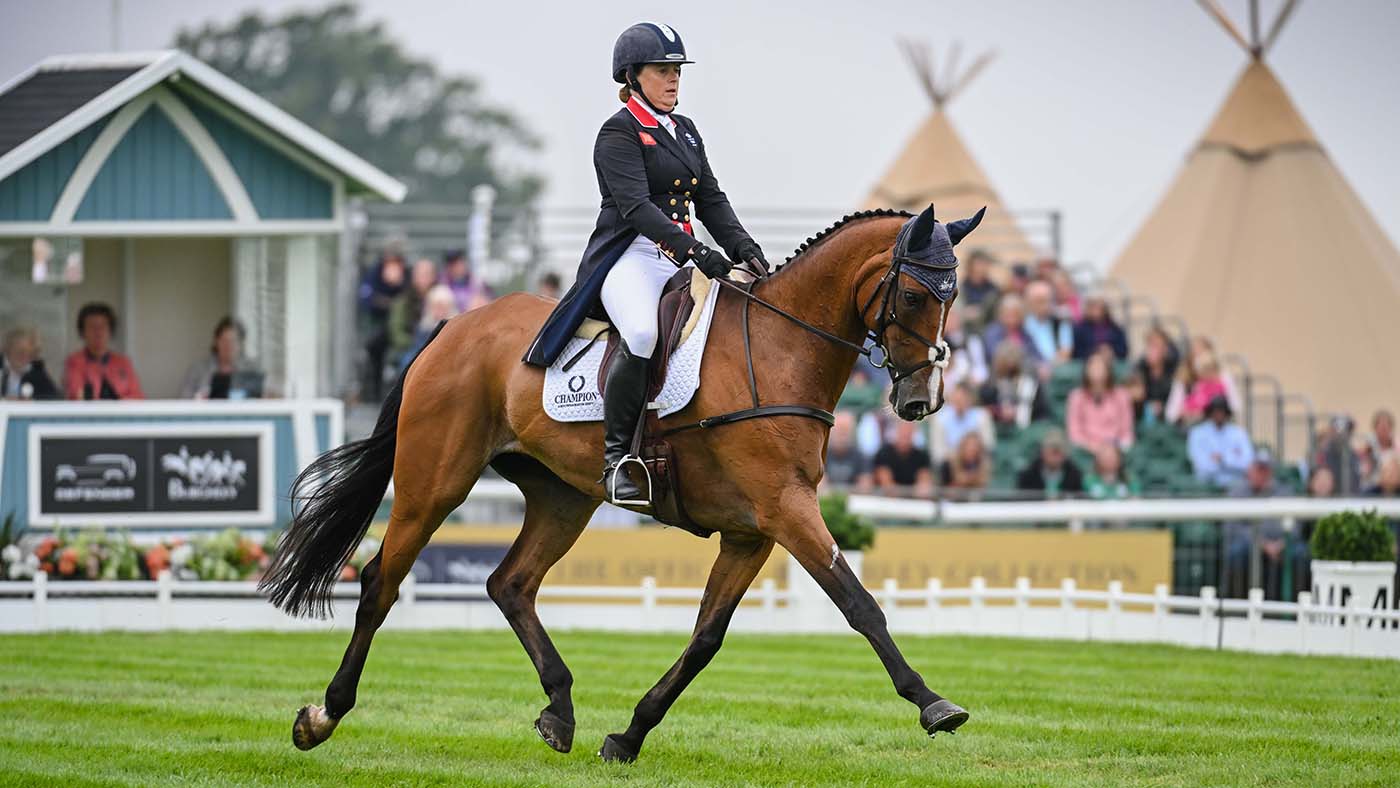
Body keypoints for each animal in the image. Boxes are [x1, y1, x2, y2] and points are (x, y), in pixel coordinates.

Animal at [264, 205, 985, 767]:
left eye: (953, 298)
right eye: (915, 296)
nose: (921, 401)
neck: (782, 349)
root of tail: (452, 328)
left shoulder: (751, 533)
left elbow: (705, 639)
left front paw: (629, 735)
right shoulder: (786, 510)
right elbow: (859, 604)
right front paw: (934, 704)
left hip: (563, 497)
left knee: (510, 584)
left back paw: (560, 712)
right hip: (434, 483)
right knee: (381, 581)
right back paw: (322, 716)